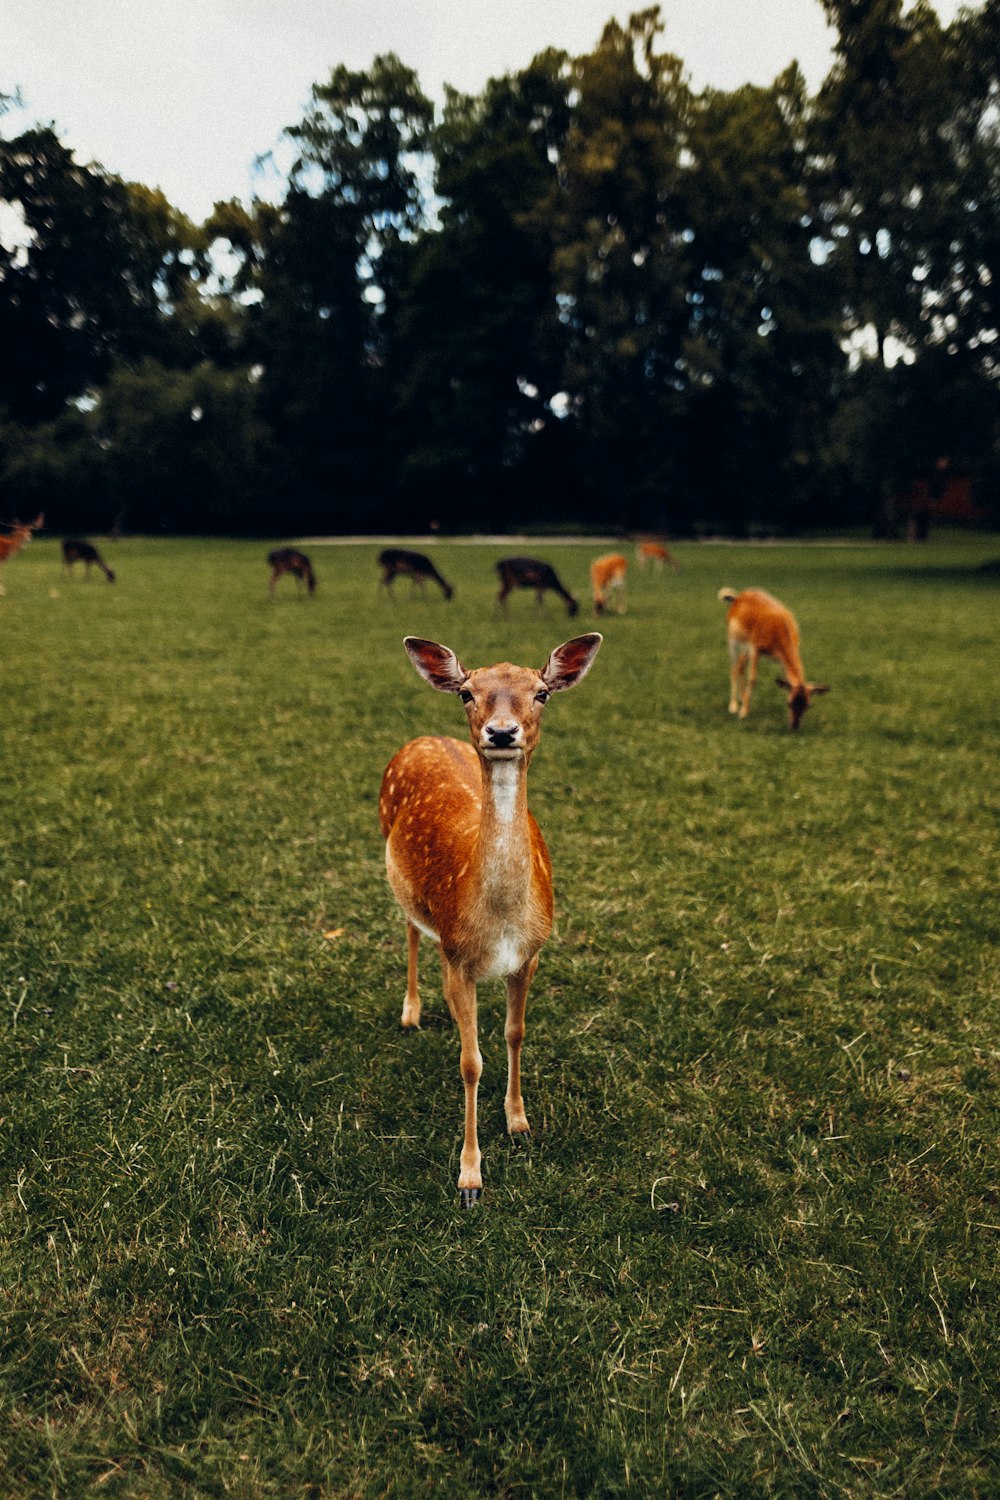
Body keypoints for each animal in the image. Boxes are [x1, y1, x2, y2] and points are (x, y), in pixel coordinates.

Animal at [379, 630, 602, 1206]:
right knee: (410, 926)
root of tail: (421, 738)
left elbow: (515, 1033)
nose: (502, 732)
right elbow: (470, 1062)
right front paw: (470, 1177)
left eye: (542, 692)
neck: (500, 925)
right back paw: (411, 1011)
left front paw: (519, 1123)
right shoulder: (459, 957)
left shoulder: (531, 955)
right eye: (467, 693)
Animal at [716, 582, 833, 729]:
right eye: (789, 703)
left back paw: (742, 700)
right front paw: (743, 714)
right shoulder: (756, 648)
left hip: (745, 649)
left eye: (808, 705)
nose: (795, 726)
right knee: (733, 667)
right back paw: (733, 707)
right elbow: (753, 678)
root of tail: (737, 597)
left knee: (740, 666)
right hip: (732, 640)